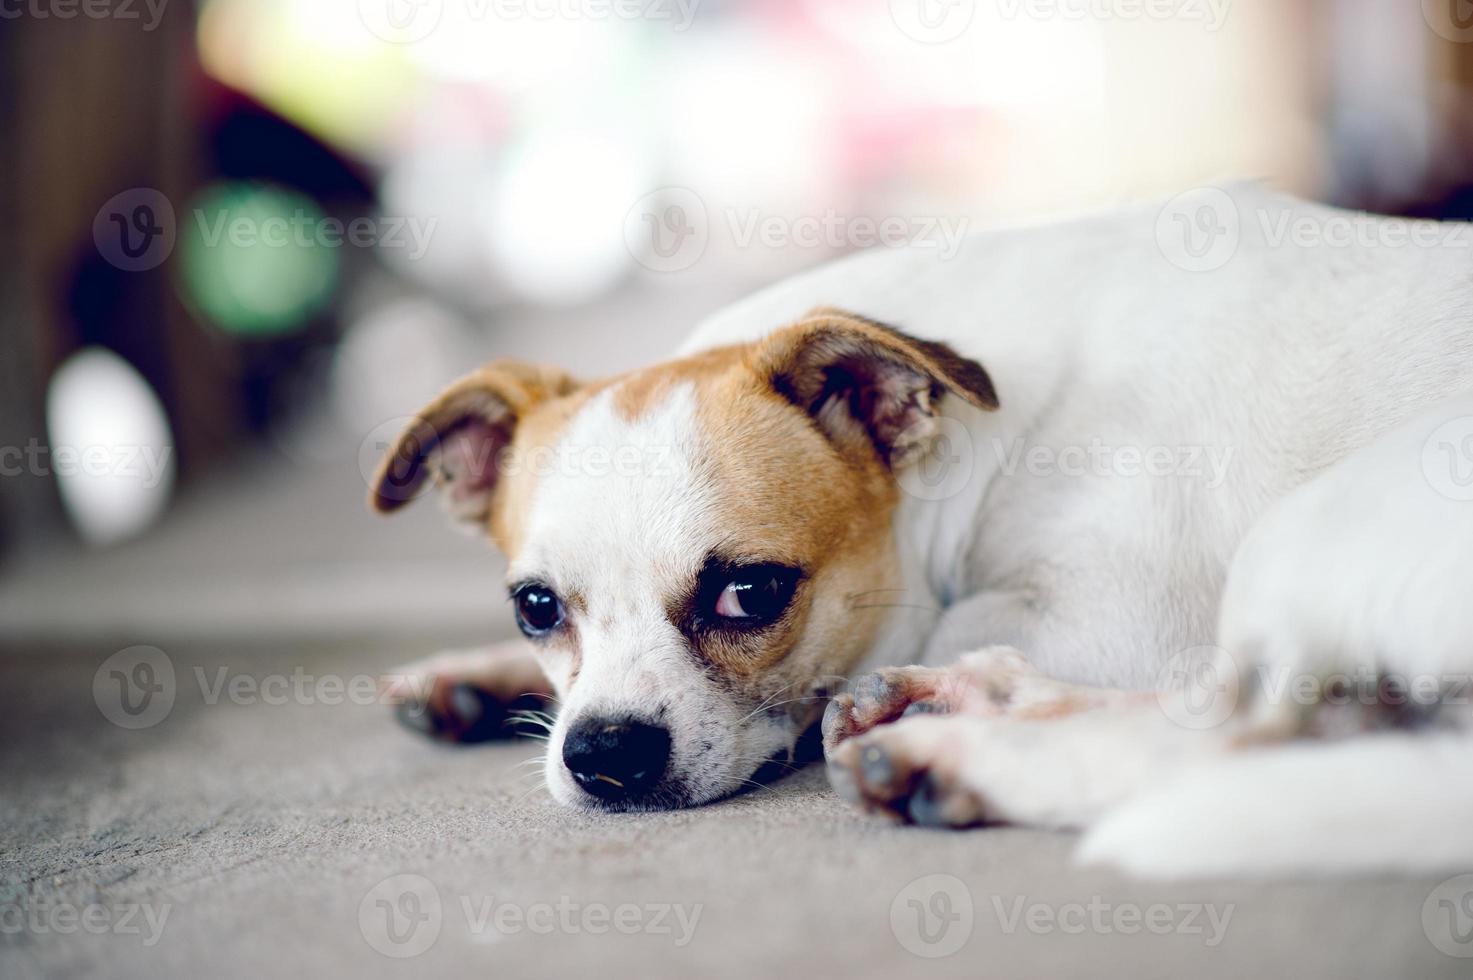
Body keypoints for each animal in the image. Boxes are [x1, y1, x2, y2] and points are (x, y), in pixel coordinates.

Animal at [377, 185, 1473, 878]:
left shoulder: (1111, 618)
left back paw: (963, 746)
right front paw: (479, 678)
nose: (602, 752)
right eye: (534, 607)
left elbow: (941, 625)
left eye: (750, 593)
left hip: (1309, 527)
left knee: (1243, 737)